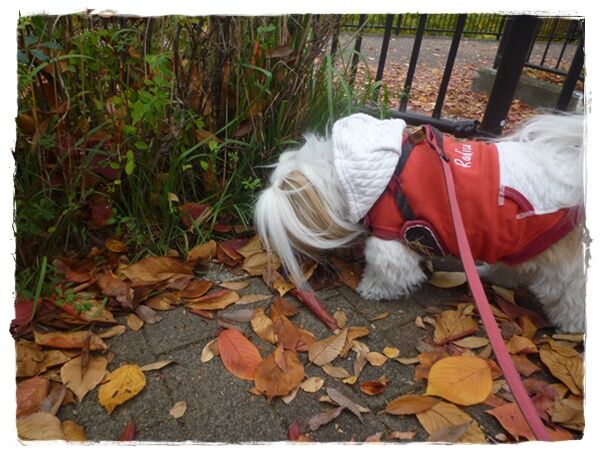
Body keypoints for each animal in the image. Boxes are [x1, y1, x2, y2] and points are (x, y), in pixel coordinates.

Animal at [255, 113, 586, 333]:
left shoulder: (390, 236)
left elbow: (390, 269)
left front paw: (372, 289)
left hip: (564, 264)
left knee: (570, 296)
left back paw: (571, 326)